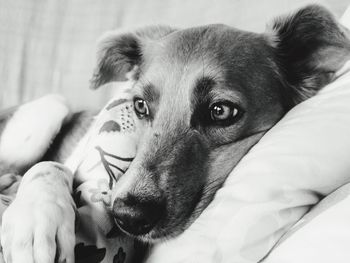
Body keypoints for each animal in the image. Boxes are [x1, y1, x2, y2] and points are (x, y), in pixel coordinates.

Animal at [0, 4, 350, 263]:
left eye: (221, 111)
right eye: (140, 105)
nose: (127, 216)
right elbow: (49, 166)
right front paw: (36, 224)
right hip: (50, 108)